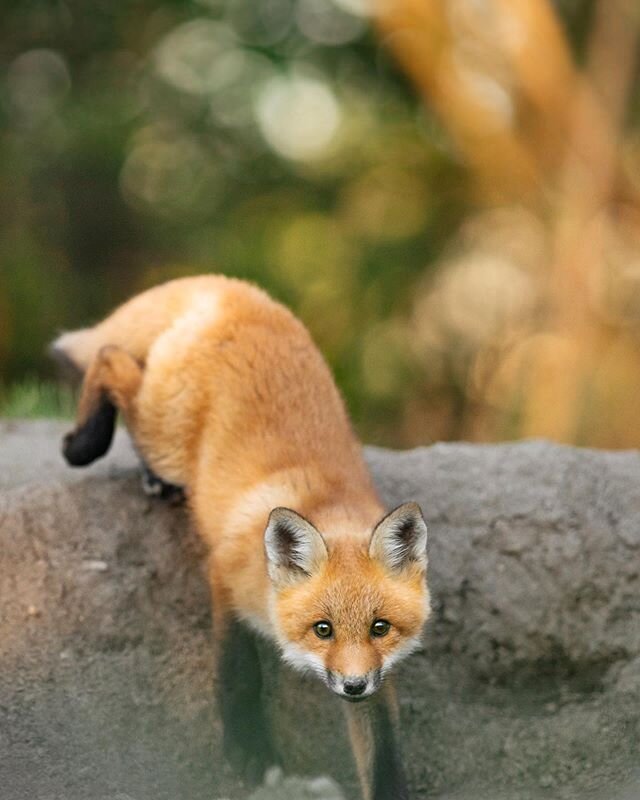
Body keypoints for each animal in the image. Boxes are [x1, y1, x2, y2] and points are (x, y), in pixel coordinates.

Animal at [51, 275, 431, 800]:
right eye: (323, 629)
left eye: (380, 627)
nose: (353, 687)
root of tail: (228, 289)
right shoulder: (225, 577)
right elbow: (239, 674)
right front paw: (249, 750)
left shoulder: (376, 672)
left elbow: (383, 750)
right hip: (166, 434)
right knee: (110, 358)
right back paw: (83, 443)